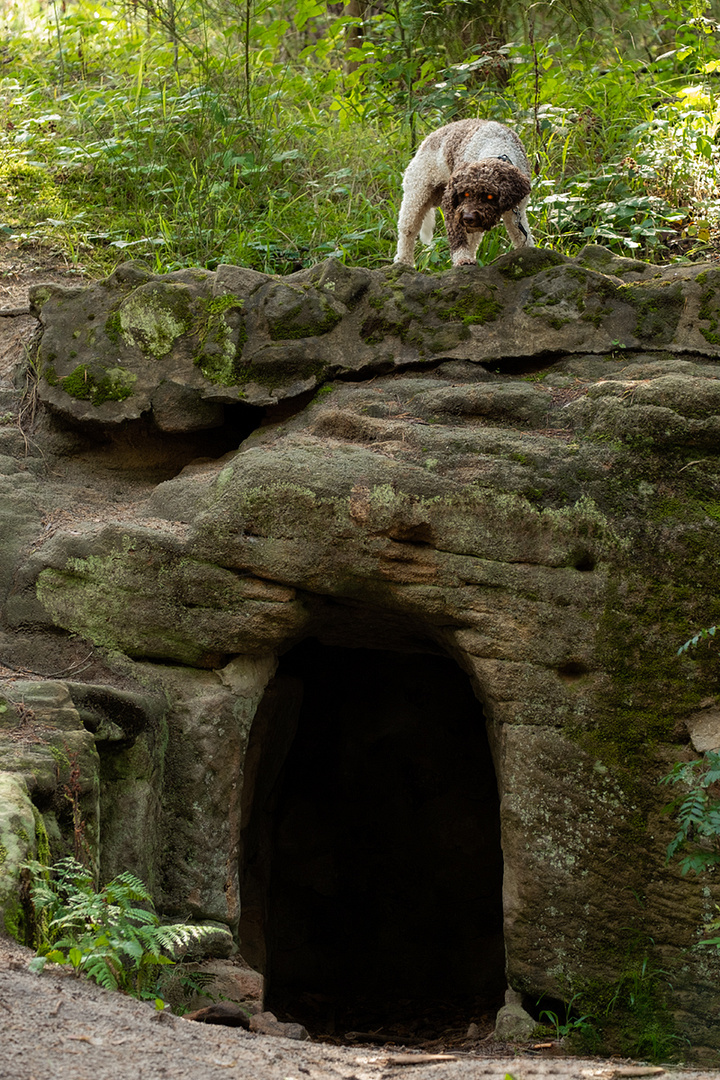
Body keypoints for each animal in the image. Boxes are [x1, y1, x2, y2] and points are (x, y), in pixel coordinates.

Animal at [395, 119, 535, 266]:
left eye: (490, 196)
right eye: (464, 194)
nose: (468, 217)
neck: (497, 142)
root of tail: (427, 139)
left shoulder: (516, 212)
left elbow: (521, 236)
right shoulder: (453, 207)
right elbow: (458, 237)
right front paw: (462, 259)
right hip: (416, 195)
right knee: (407, 231)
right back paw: (403, 261)